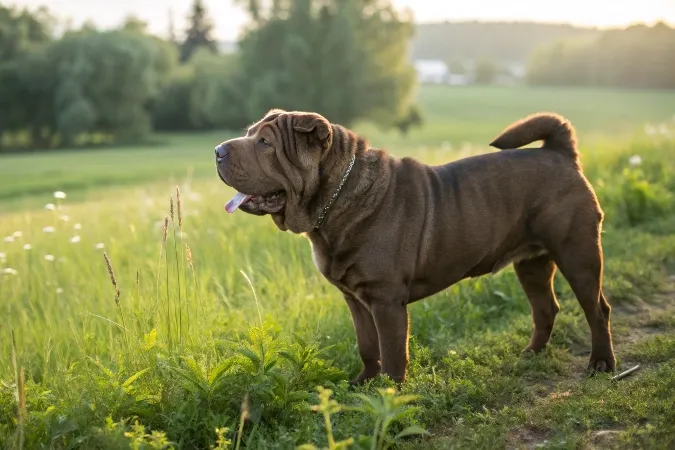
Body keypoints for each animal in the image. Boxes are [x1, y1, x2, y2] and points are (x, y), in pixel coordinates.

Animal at [214, 109, 616, 384]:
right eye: (249, 134)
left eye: (265, 143)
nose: (218, 149)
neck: (338, 199)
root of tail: (559, 153)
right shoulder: (355, 299)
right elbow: (367, 346)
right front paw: (363, 384)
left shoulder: (386, 301)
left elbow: (393, 353)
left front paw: (388, 397)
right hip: (532, 263)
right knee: (545, 307)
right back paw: (531, 354)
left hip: (578, 254)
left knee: (597, 309)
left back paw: (601, 363)